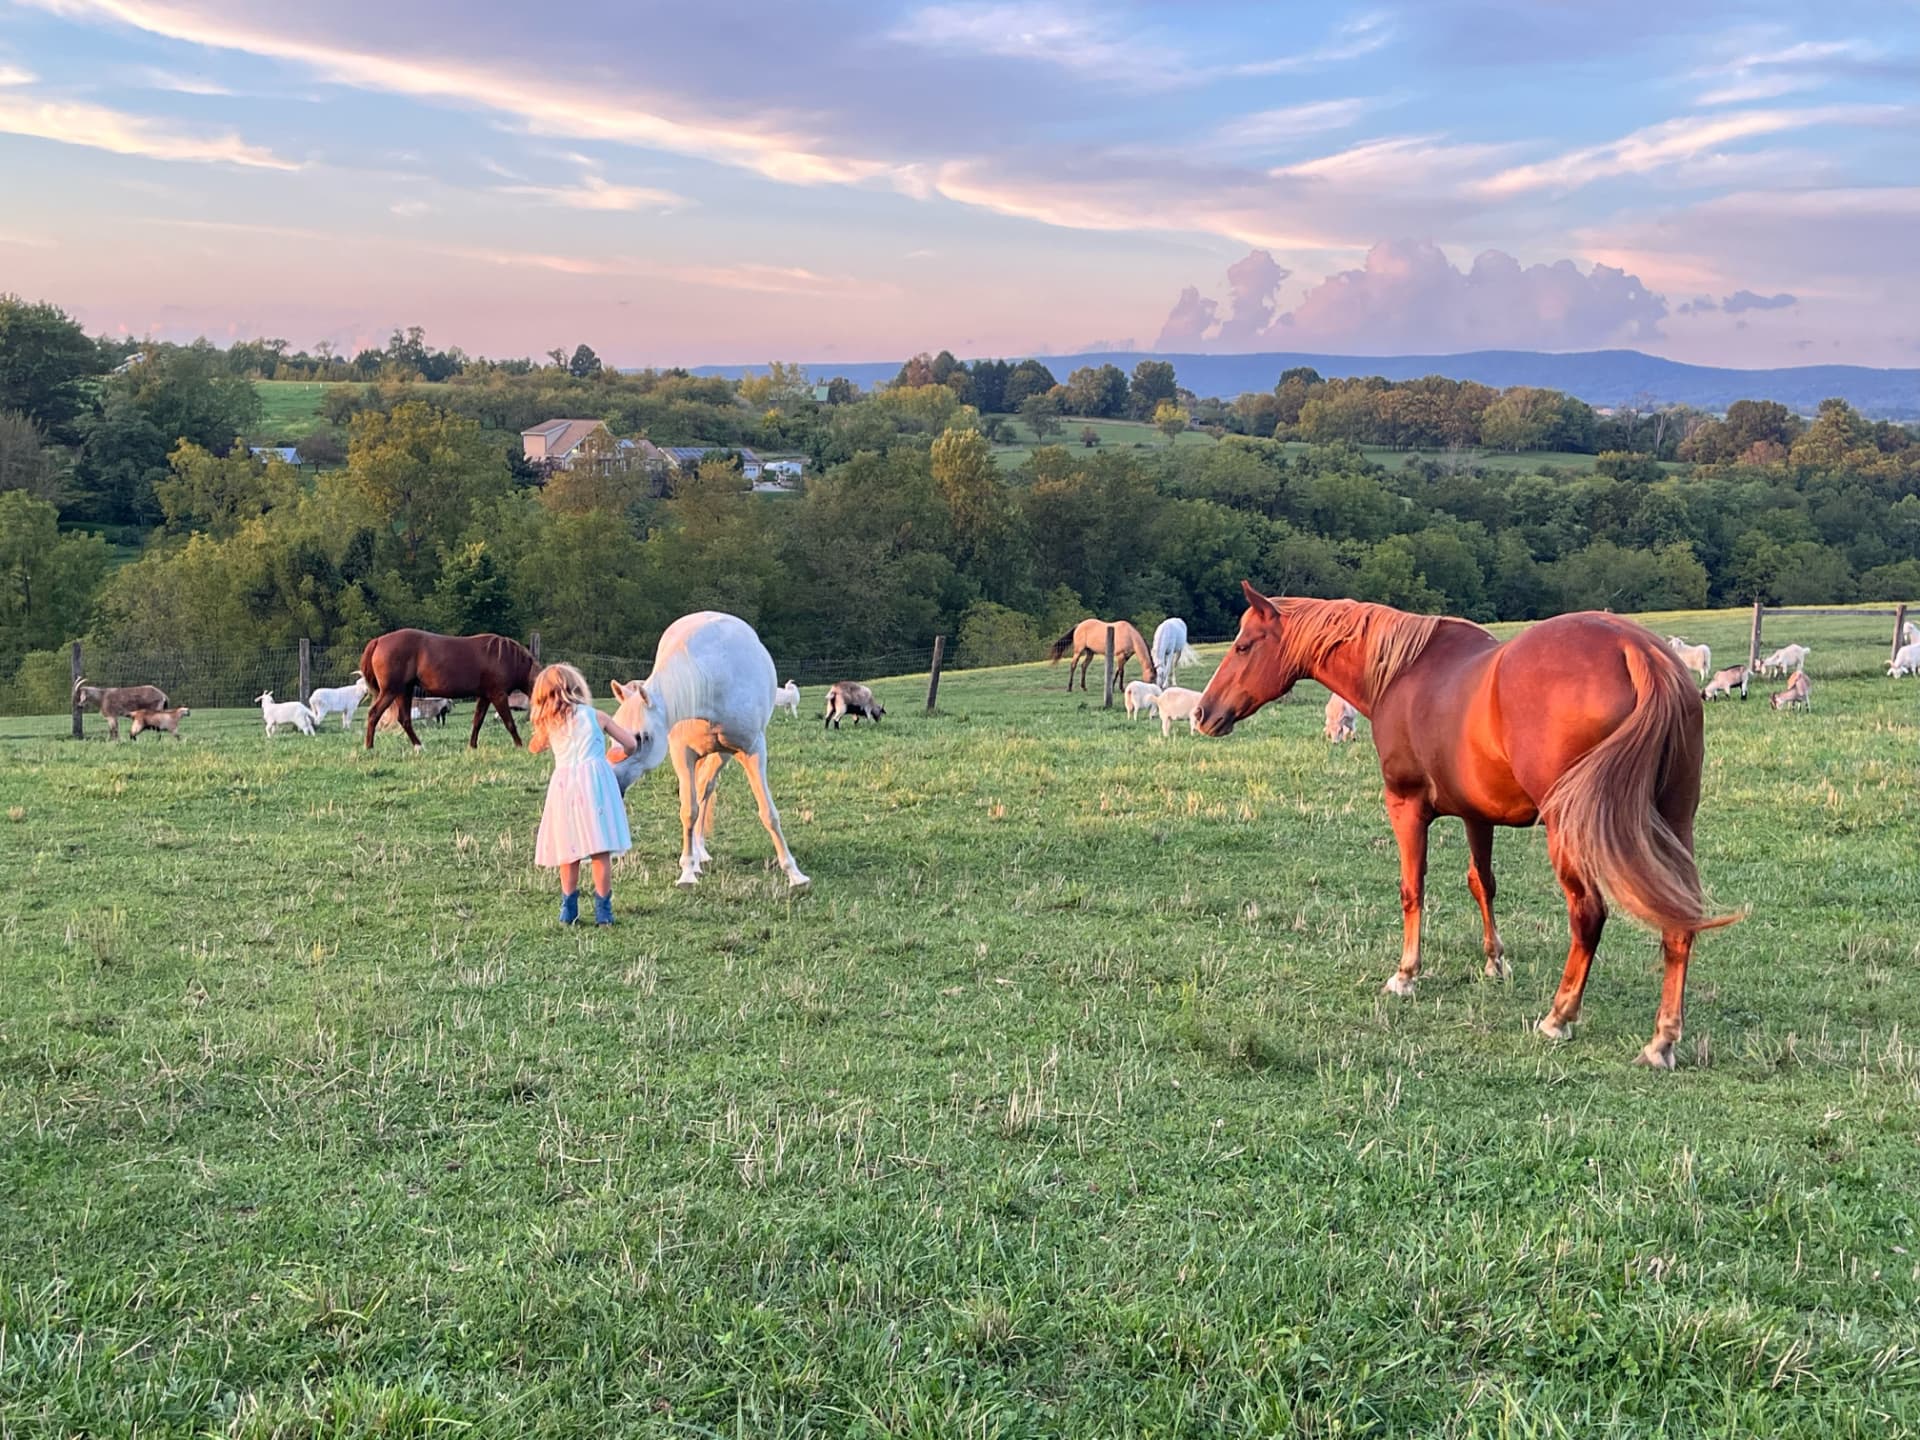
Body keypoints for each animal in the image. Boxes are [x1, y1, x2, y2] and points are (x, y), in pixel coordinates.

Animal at [357, 629, 537, 750]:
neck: (507, 658)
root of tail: (378, 640)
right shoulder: (498, 695)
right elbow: (509, 722)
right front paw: (519, 744)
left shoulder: (485, 696)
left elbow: (477, 721)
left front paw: (472, 746)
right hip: (391, 691)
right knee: (374, 714)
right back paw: (369, 747)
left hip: (404, 691)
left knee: (404, 719)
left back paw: (419, 746)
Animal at [605, 611, 808, 890]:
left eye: (643, 737)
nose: (612, 782)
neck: (714, 681)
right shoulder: (682, 754)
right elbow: (689, 809)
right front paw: (687, 872)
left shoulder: (753, 750)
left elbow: (768, 812)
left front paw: (795, 874)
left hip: (721, 754)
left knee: (706, 788)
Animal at [1194, 582, 1736, 1068]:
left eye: (1243, 646)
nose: (1202, 713)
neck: (1403, 672)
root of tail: (1636, 649)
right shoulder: (1479, 815)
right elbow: (1483, 883)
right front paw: (1495, 961)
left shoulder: (1406, 805)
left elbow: (1412, 888)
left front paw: (1406, 974)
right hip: (1674, 822)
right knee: (1679, 923)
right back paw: (1661, 1040)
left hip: (1570, 829)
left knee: (1588, 915)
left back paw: (1559, 1016)